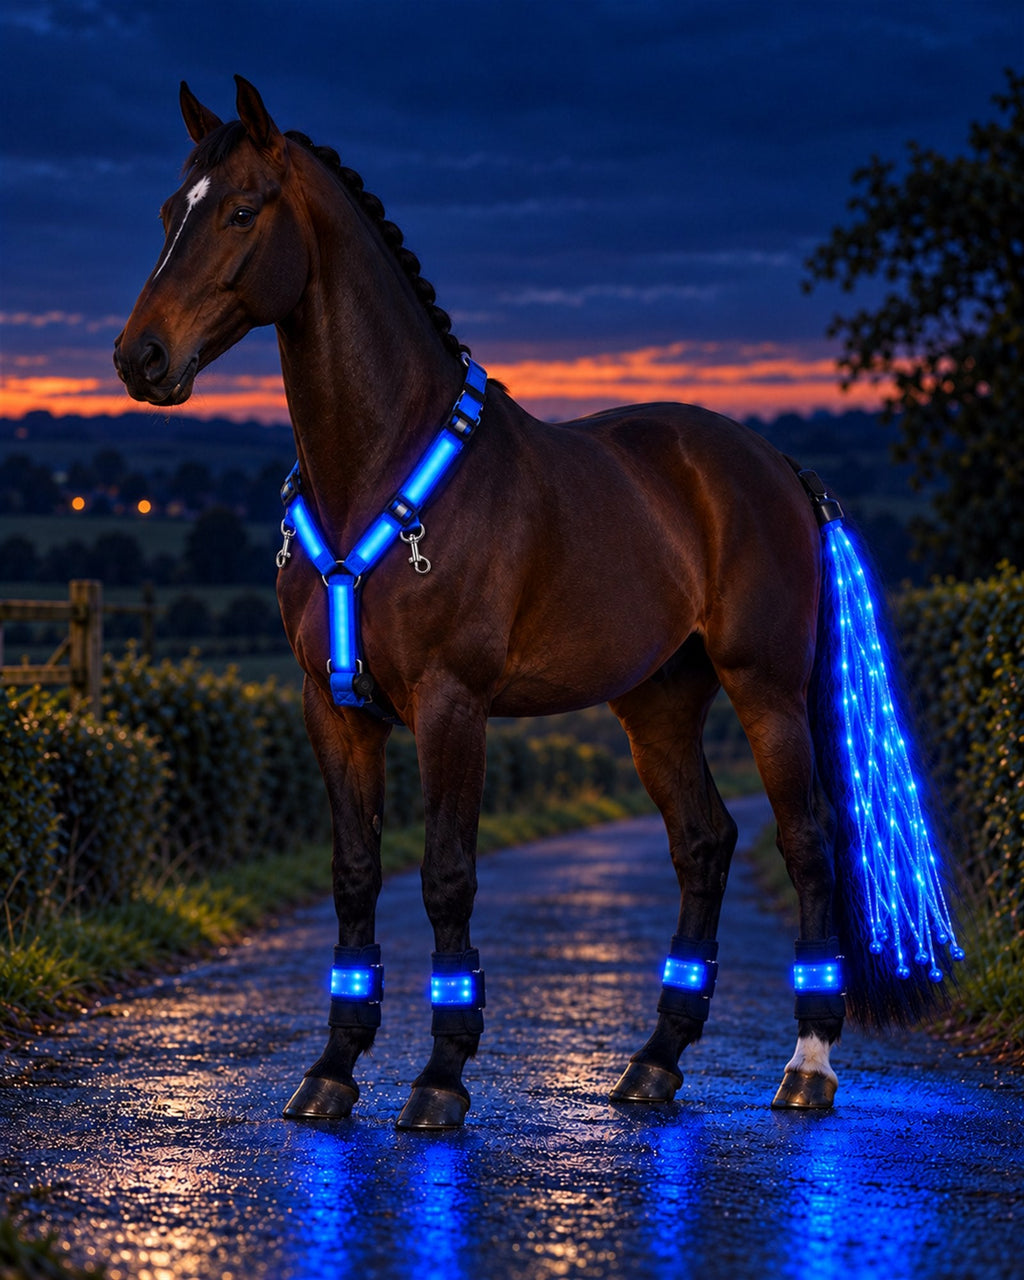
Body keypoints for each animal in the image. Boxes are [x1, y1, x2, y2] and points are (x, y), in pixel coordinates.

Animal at [114, 77, 961, 1130]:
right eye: (165, 212)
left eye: (239, 210)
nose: (140, 358)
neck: (378, 467)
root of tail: (776, 465)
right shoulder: (333, 710)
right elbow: (355, 877)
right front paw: (333, 1070)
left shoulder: (453, 704)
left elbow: (446, 877)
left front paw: (440, 1078)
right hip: (658, 703)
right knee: (704, 843)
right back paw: (654, 1062)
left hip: (766, 690)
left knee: (808, 843)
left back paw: (808, 1063)